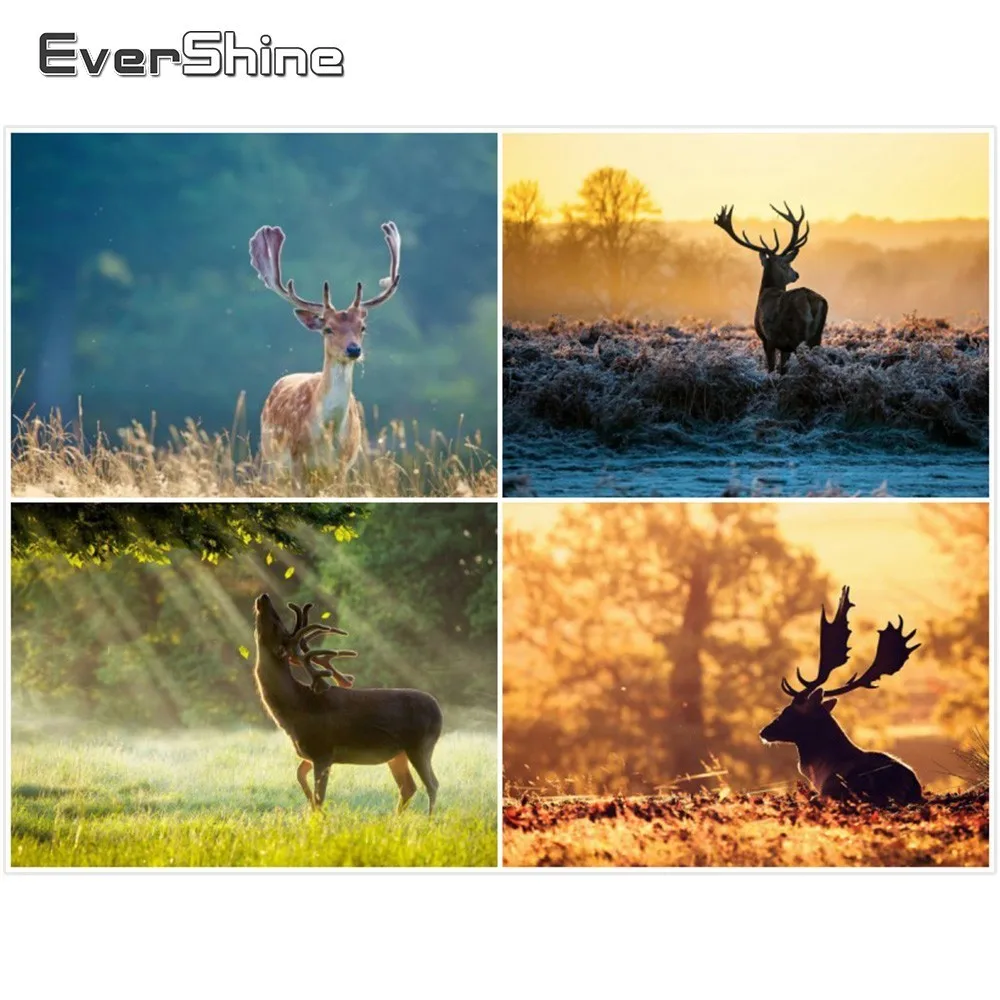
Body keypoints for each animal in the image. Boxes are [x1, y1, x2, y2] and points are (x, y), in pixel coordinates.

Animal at [249, 221, 401, 484]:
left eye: (362, 327)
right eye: (328, 329)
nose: (353, 349)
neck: (327, 435)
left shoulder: (342, 467)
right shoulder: (296, 461)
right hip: (271, 460)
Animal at [252, 593, 442, 813]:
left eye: (277, 624)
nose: (264, 596)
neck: (296, 708)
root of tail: (438, 711)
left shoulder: (323, 750)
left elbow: (320, 797)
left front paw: (317, 816)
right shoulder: (311, 753)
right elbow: (300, 777)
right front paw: (309, 808)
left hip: (420, 745)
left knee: (432, 784)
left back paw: (429, 818)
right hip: (398, 753)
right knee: (408, 786)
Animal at [713, 202, 828, 374]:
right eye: (786, 264)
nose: (796, 274)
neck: (766, 291)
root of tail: (810, 300)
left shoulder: (767, 339)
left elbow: (772, 368)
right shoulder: (783, 346)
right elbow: (782, 369)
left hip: (797, 335)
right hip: (816, 337)